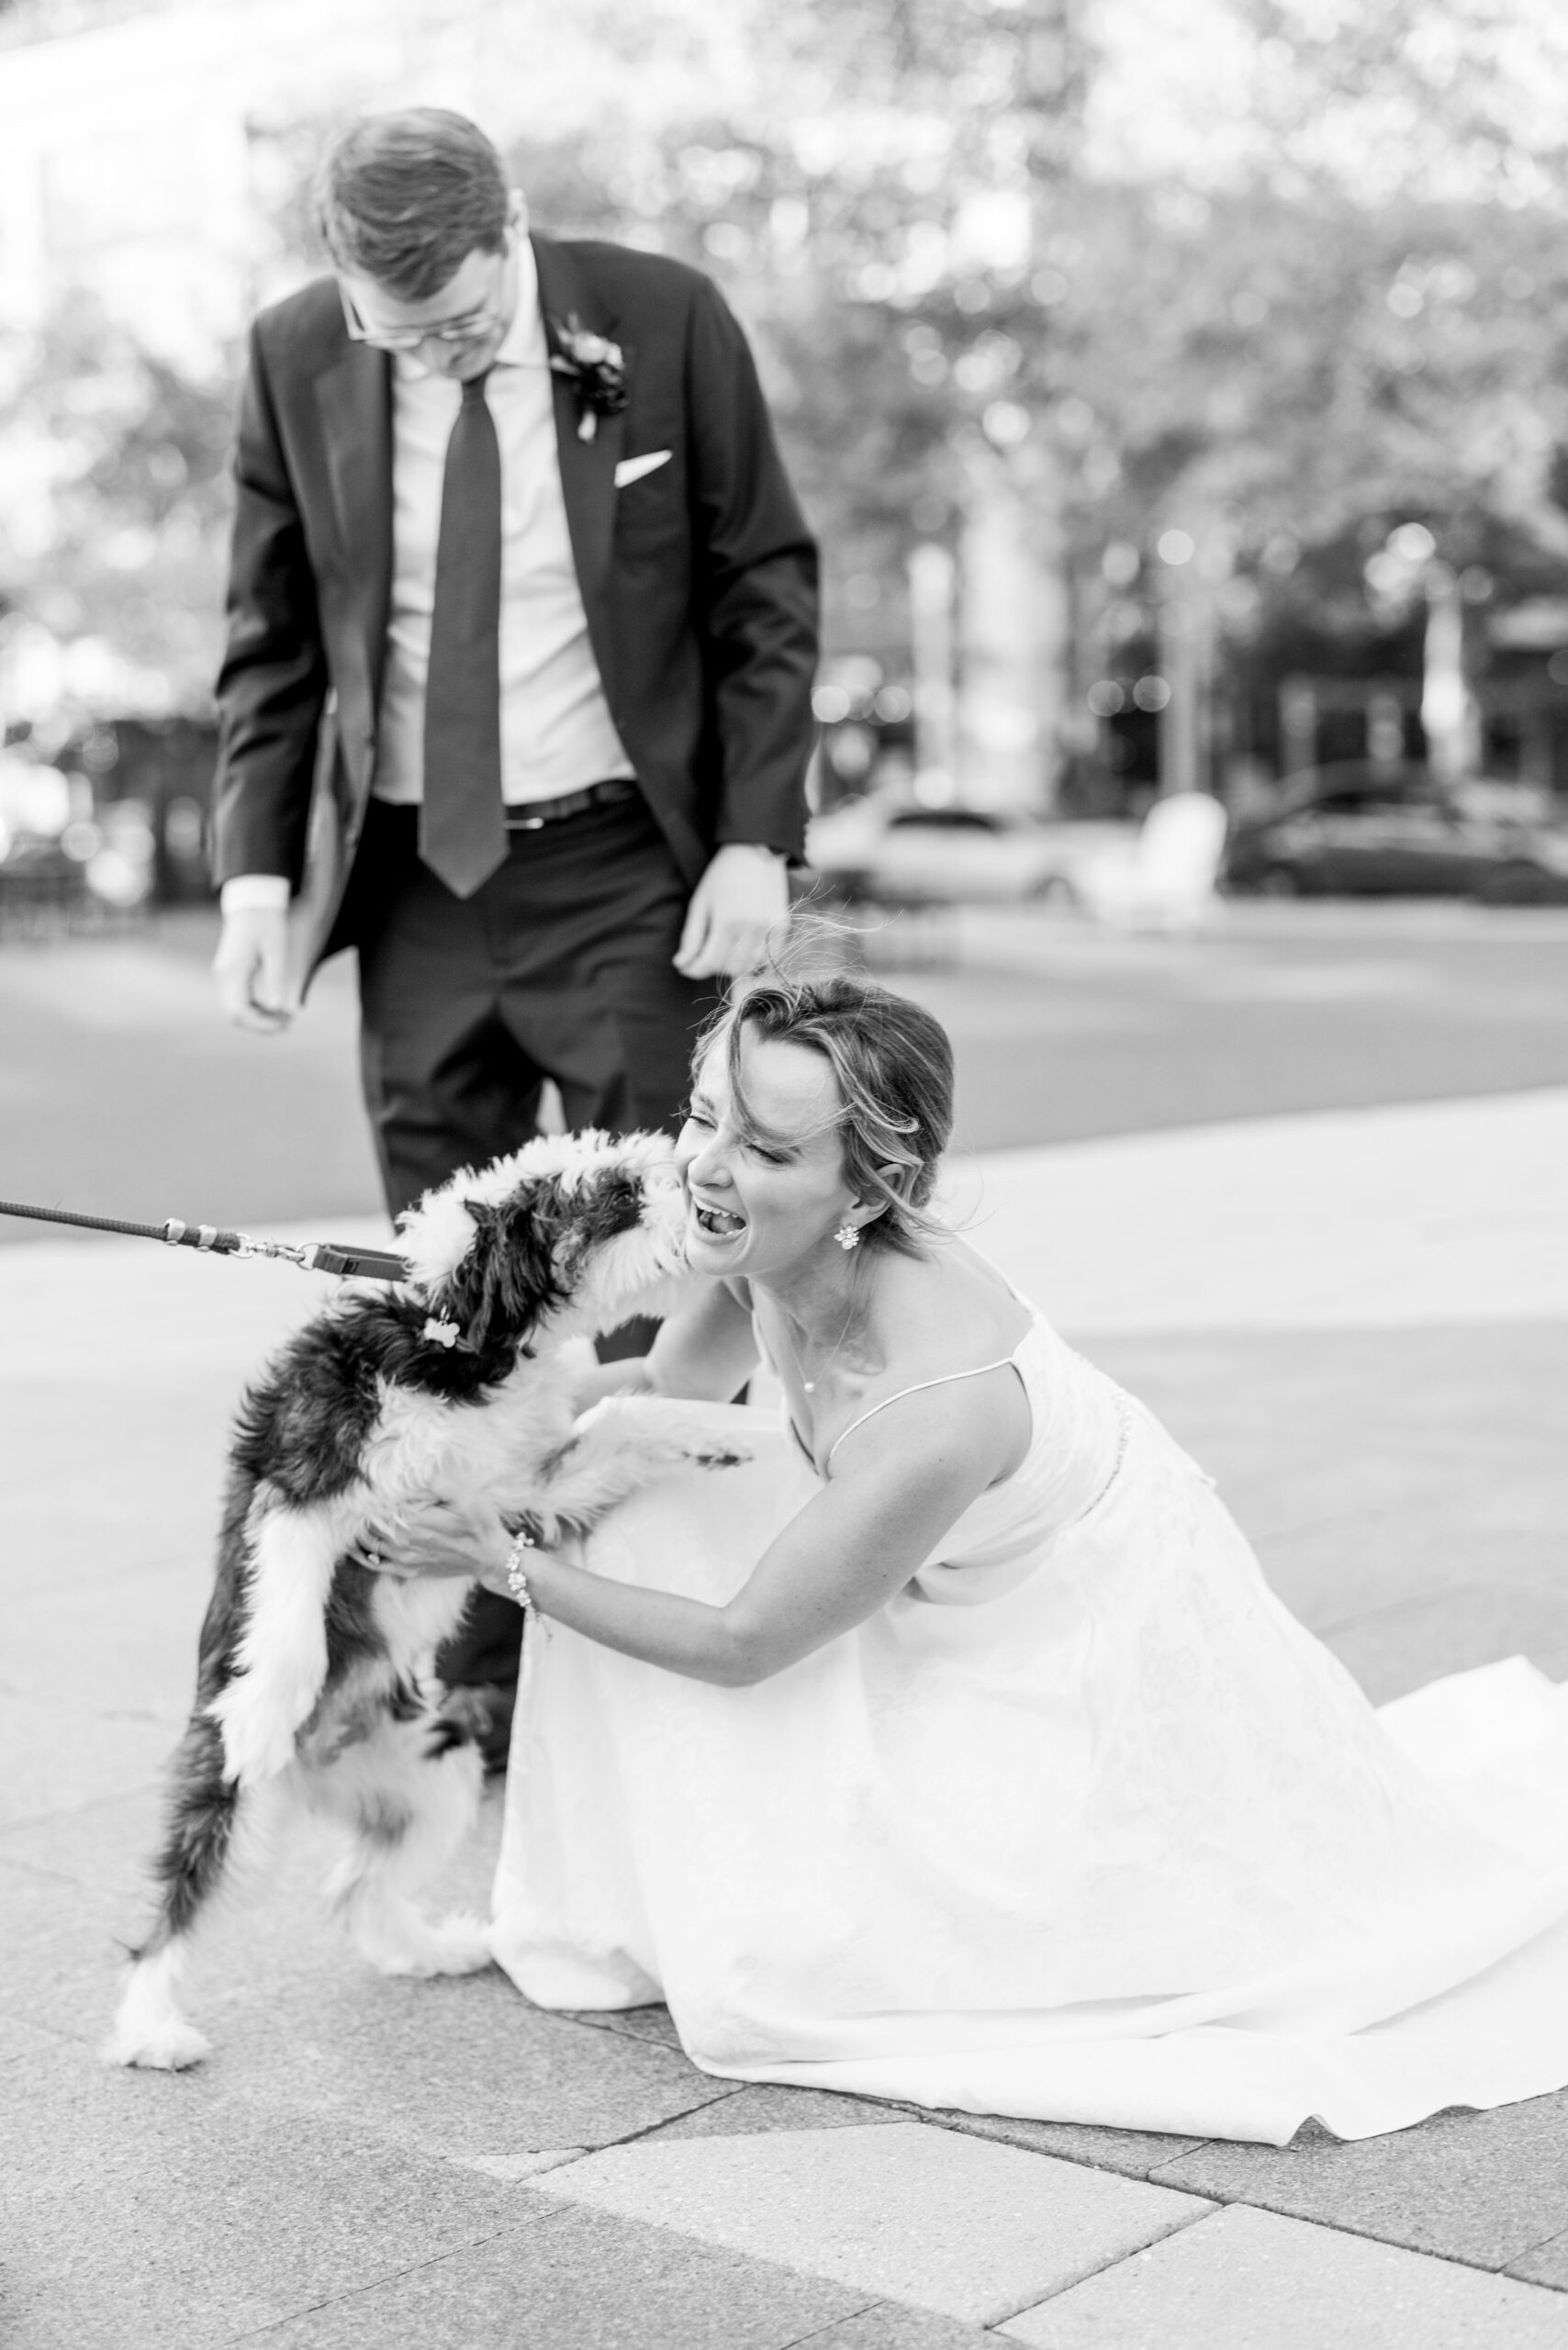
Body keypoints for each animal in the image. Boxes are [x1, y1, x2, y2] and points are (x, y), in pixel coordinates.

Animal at [104, 1127, 743, 2067]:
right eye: (619, 1194)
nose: (696, 1185)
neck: (459, 1340)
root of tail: (318, 1769)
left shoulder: (518, 1492)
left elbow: (621, 1418)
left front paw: (707, 1434)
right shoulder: (303, 1490)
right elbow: (290, 1626)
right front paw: (261, 1715)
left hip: (435, 1775)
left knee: (356, 1885)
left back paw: (432, 1948)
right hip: (228, 1804)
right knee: (175, 1909)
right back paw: (151, 2024)